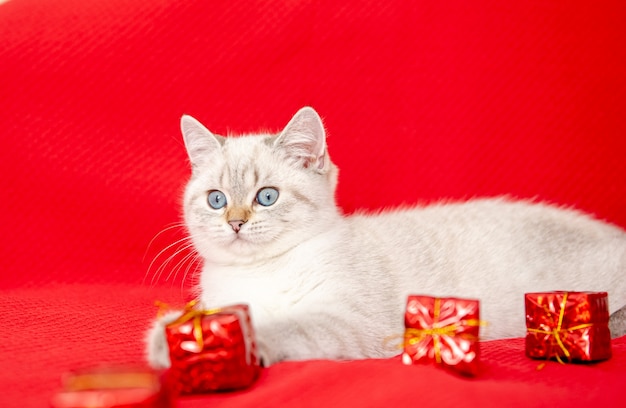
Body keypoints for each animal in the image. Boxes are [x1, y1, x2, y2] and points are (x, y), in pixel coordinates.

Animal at [144, 107, 620, 368]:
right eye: (217, 200)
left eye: (266, 197)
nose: (236, 222)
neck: (261, 271)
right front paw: (172, 338)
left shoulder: (350, 323)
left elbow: (284, 325)